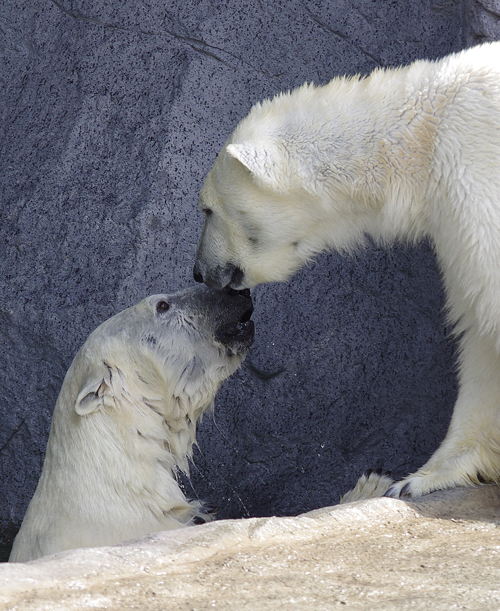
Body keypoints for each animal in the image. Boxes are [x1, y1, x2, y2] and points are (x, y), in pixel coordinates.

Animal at [192, 44, 500, 502]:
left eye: (207, 209)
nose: (198, 271)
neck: (422, 138)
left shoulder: (472, 171)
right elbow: (476, 324)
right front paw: (422, 477)